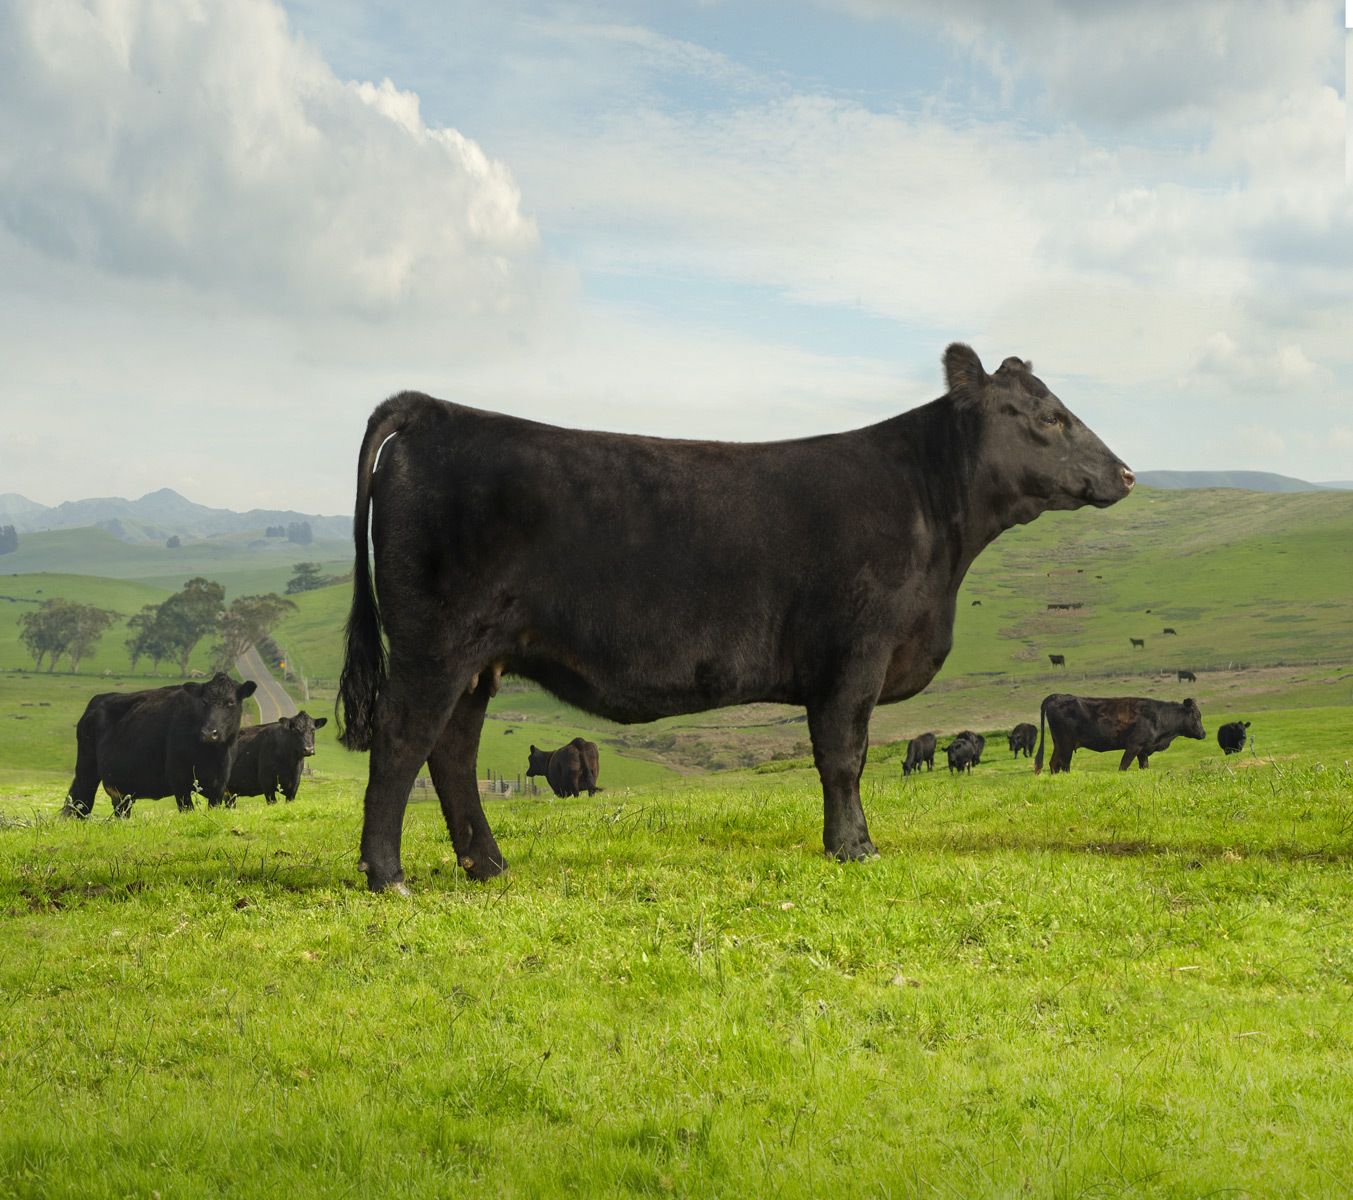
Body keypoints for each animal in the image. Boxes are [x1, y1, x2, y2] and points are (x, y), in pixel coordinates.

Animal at [63, 673, 258, 817]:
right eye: (204, 702)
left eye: (230, 702)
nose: (209, 733)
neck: (211, 755)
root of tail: (97, 700)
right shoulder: (179, 781)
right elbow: (187, 811)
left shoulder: (219, 785)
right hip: (86, 771)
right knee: (80, 804)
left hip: (122, 790)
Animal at [336, 343, 1134, 891]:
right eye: (1049, 417)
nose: (1126, 472)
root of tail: (434, 409)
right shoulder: (854, 654)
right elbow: (843, 757)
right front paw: (853, 847)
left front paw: (849, 841)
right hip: (433, 647)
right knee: (402, 743)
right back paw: (388, 875)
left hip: (478, 661)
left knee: (452, 753)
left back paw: (488, 864)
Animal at [1033, 694, 1205, 774]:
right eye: (1196, 716)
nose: (1203, 733)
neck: (1160, 716)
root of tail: (1058, 696)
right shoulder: (1134, 746)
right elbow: (1123, 766)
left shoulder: (1143, 750)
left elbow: (1144, 767)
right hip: (1066, 743)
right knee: (1064, 765)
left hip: (1059, 743)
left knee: (1054, 763)